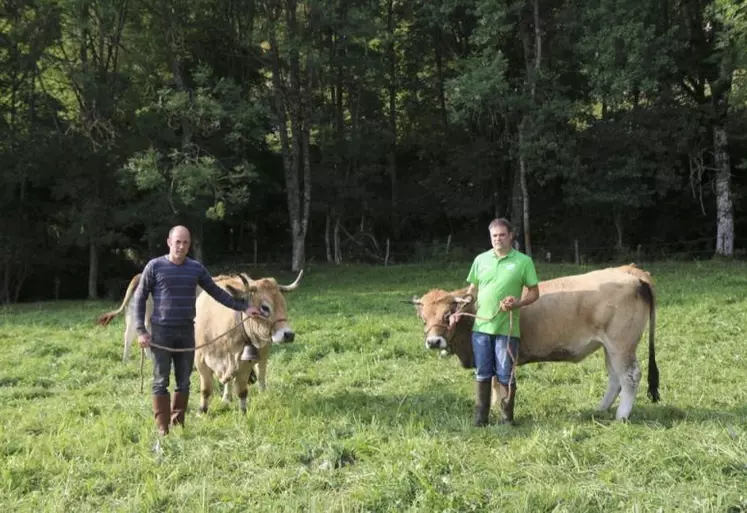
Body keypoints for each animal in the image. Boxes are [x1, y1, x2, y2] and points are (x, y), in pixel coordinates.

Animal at [194, 272, 302, 412]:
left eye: (284, 305)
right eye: (264, 307)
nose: (289, 334)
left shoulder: (245, 363)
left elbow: (242, 391)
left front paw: (243, 412)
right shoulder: (200, 360)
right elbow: (206, 389)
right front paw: (202, 411)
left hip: (264, 350)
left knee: (261, 372)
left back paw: (263, 393)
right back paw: (226, 398)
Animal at [412, 264, 664, 420]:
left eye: (448, 314)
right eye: (423, 318)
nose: (433, 341)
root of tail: (629, 270)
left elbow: (496, 383)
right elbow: (493, 383)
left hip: (621, 344)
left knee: (630, 376)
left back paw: (622, 415)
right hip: (609, 347)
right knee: (615, 377)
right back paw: (600, 409)